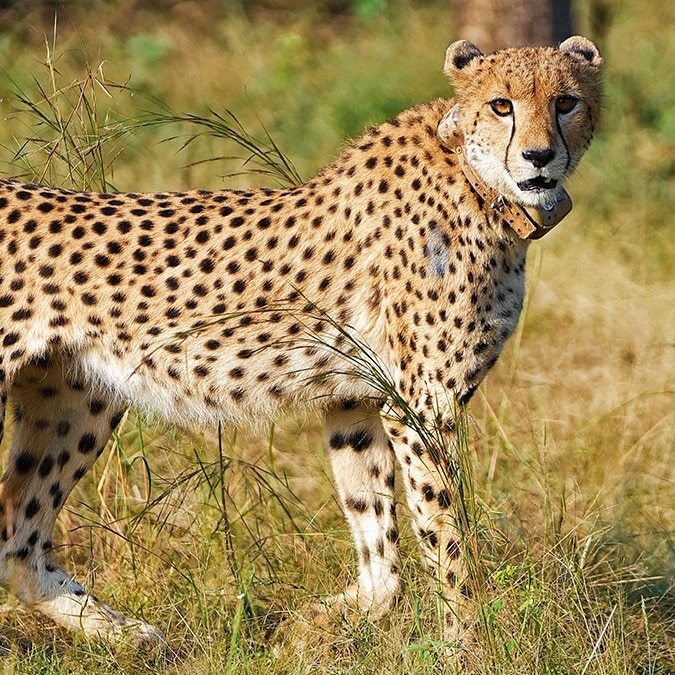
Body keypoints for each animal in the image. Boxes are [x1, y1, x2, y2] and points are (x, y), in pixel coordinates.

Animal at [0, 36, 602, 648]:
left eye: (566, 102)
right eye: (502, 105)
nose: (538, 157)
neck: (480, 186)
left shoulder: (357, 399)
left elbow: (375, 531)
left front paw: (322, 622)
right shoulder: (422, 407)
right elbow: (443, 526)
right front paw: (466, 638)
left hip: (76, 397)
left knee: (16, 536)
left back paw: (125, 634)